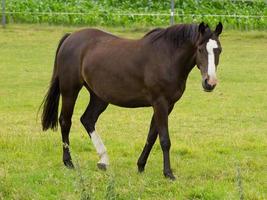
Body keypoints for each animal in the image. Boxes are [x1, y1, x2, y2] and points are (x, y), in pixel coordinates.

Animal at [40, 21, 223, 180]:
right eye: (200, 49)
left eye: (219, 50)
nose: (210, 82)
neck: (167, 57)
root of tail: (70, 37)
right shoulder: (160, 103)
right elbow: (164, 139)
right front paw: (168, 173)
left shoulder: (167, 105)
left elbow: (152, 135)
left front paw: (141, 165)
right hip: (70, 91)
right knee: (65, 122)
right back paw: (68, 162)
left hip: (99, 97)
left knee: (87, 119)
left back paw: (103, 160)